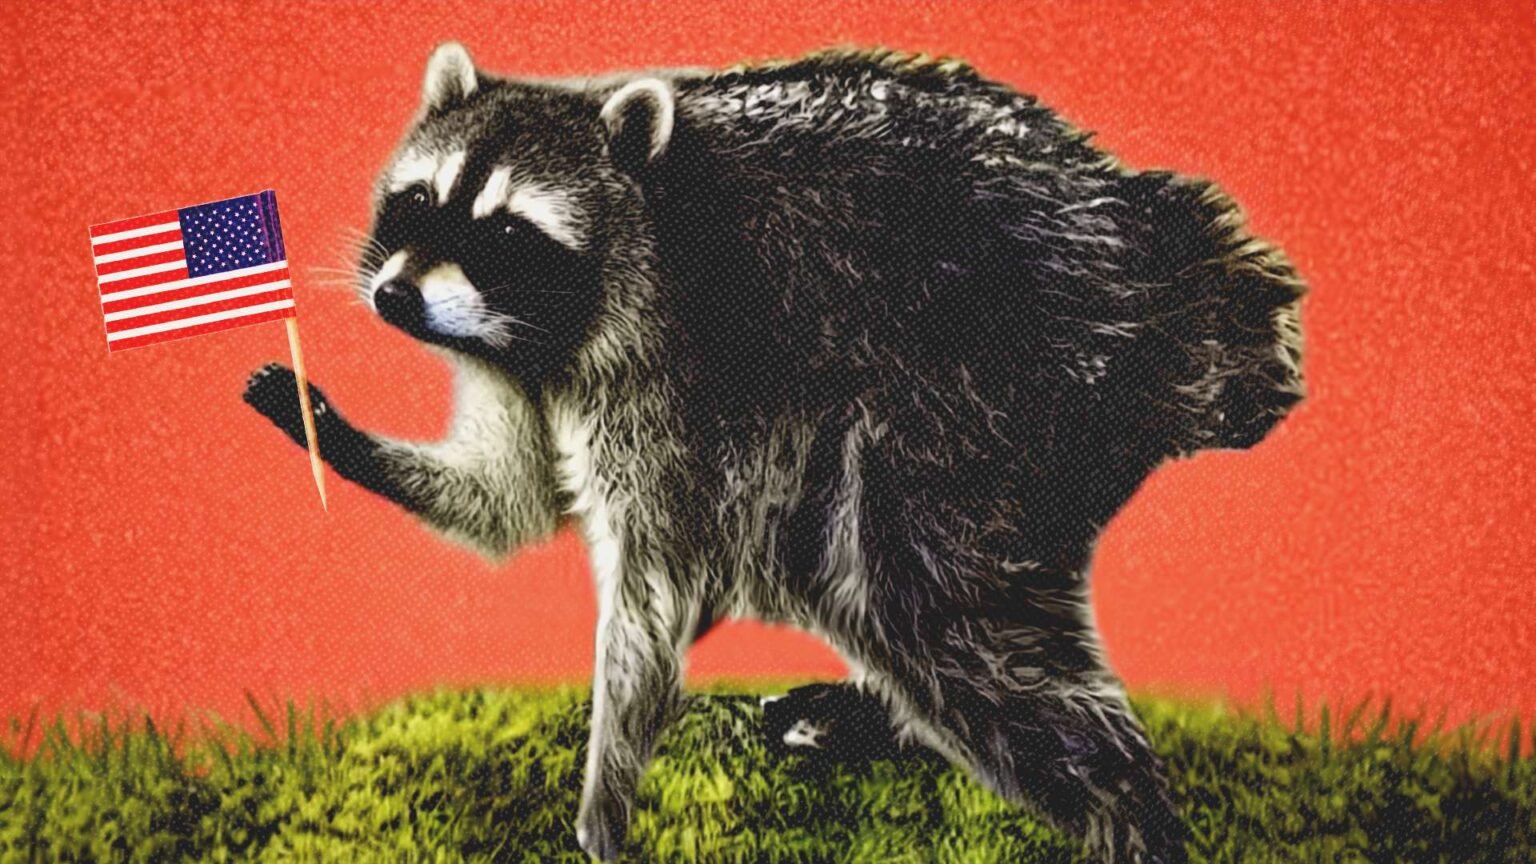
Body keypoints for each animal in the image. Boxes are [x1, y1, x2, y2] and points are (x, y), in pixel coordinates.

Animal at [243, 42, 1305, 863]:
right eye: (419, 201)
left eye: (506, 228)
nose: (395, 297)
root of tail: (1175, 269)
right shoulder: (523, 361)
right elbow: (505, 500)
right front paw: (323, 422)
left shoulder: (676, 365)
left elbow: (651, 588)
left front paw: (605, 801)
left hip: (998, 378)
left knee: (926, 597)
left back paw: (1125, 805)